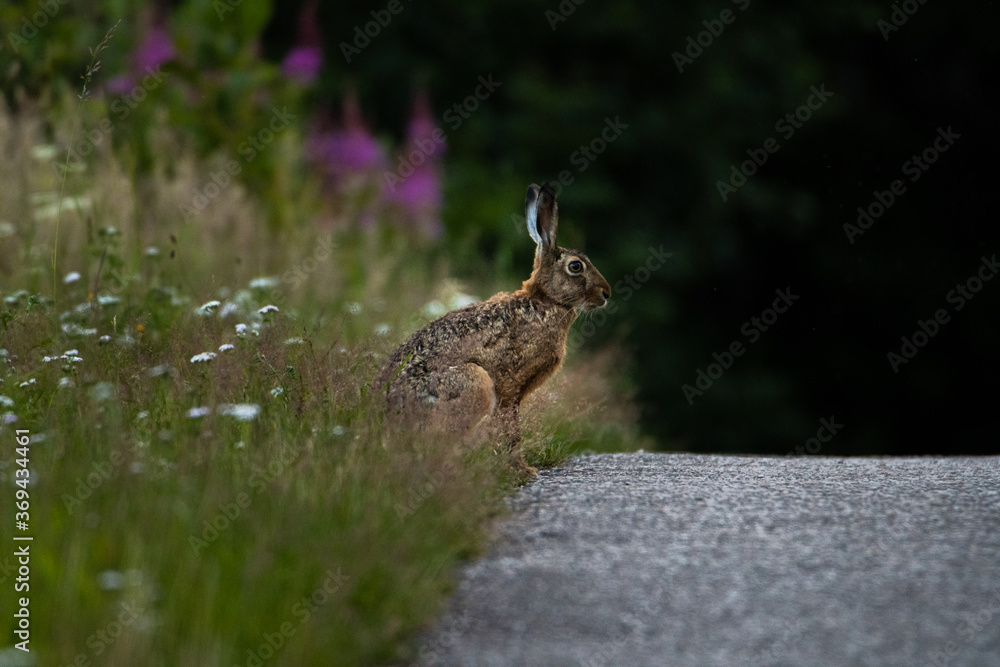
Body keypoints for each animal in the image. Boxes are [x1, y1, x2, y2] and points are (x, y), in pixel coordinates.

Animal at [378, 183, 611, 476]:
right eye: (575, 266)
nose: (606, 293)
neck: (545, 300)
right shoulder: (510, 383)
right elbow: (510, 426)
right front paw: (522, 470)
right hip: (474, 384)